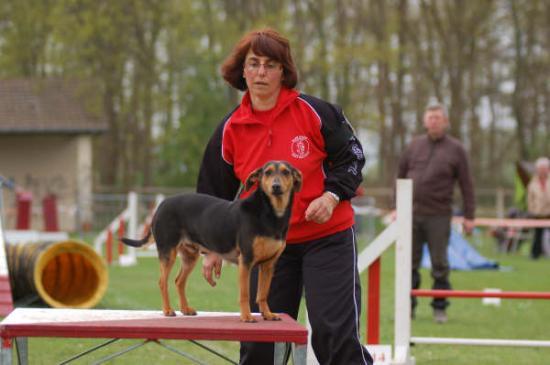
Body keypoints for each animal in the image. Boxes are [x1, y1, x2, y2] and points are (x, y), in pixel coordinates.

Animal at [121, 161, 304, 320]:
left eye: (286, 172)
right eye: (268, 173)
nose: (276, 186)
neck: (271, 213)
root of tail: (161, 206)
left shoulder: (268, 265)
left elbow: (263, 294)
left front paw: (268, 314)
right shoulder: (246, 261)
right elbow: (244, 294)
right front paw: (246, 317)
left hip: (190, 256)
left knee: (179, 281)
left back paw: (185, 309)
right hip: (168, 252)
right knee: (162, 282)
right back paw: (167, 310)